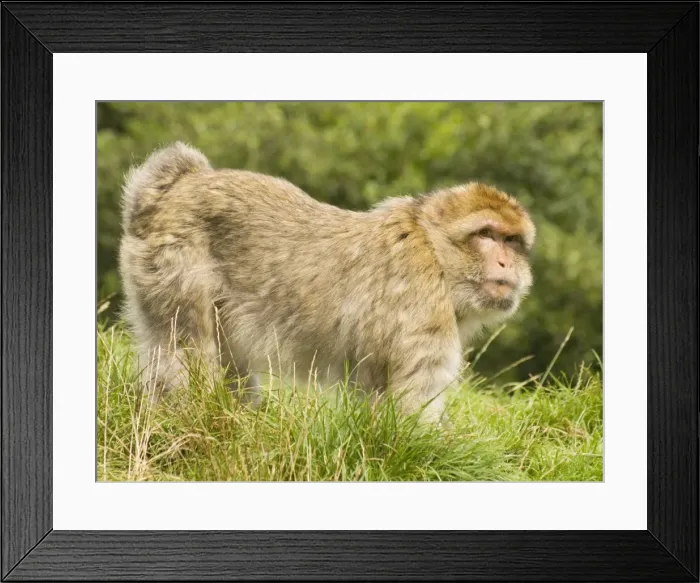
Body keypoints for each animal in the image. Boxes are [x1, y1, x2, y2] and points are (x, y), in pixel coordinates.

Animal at [117, 141, 536, 426]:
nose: (505, 261)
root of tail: (174, 186)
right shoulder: (422, 311)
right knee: (184, 352)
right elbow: (413, 411)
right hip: (173, 266)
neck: (434, 252)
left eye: (511, 241)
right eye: (487, 235)